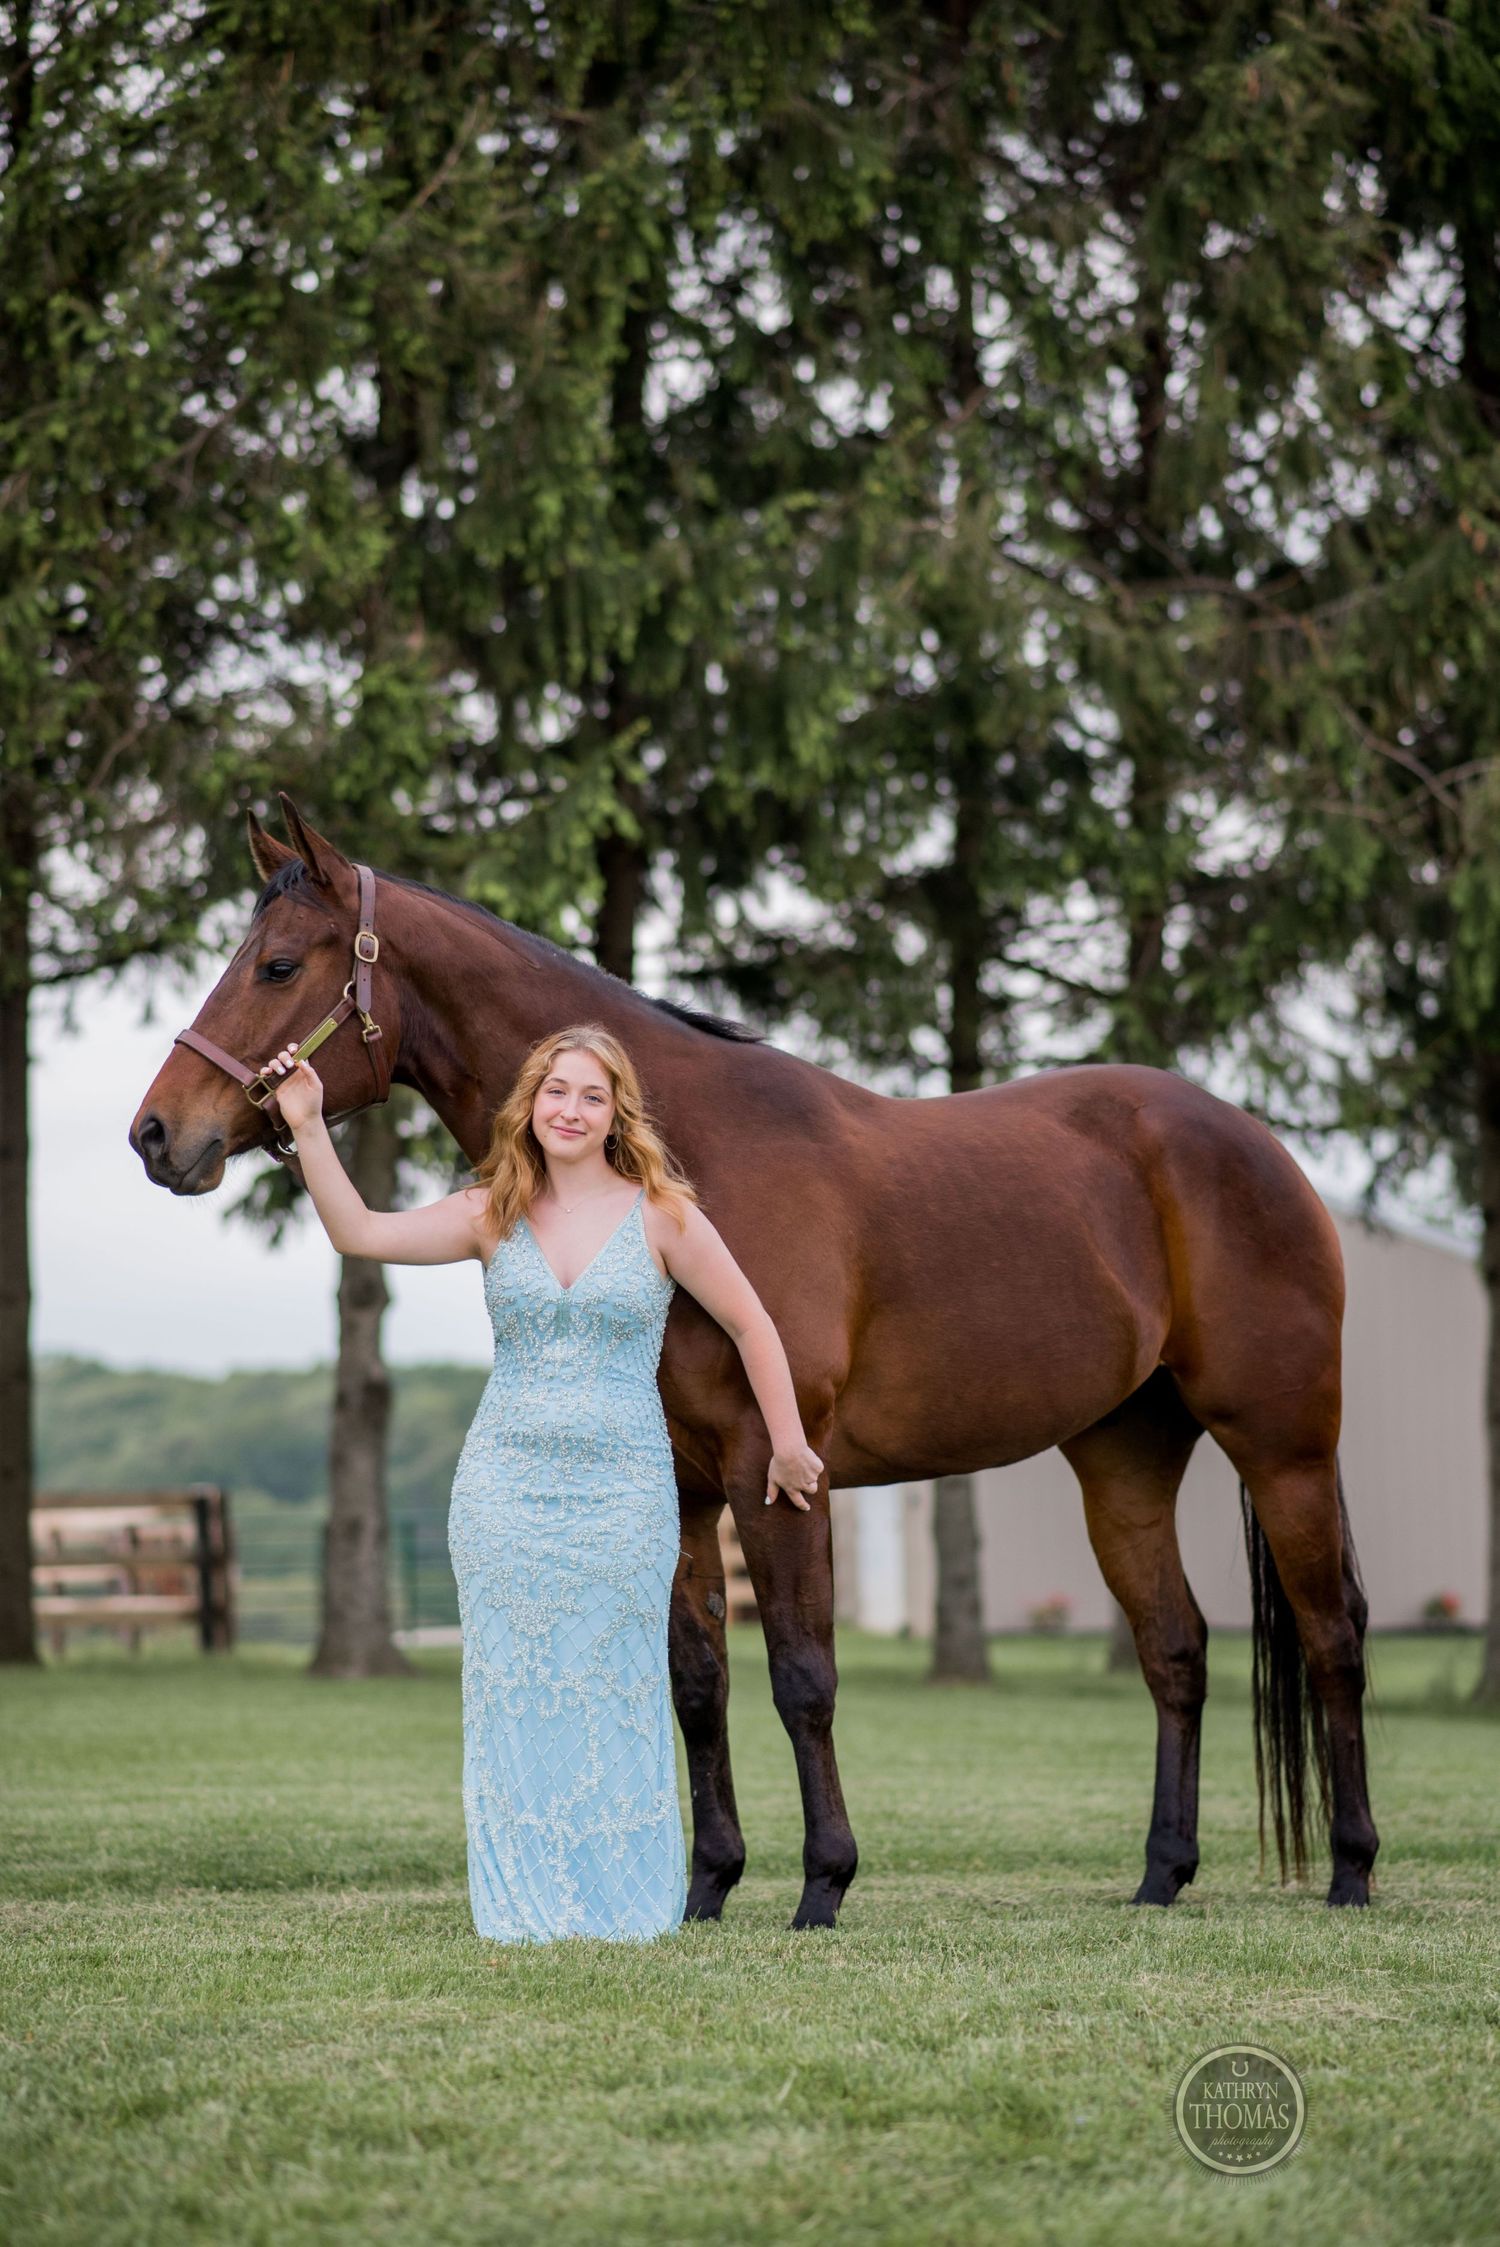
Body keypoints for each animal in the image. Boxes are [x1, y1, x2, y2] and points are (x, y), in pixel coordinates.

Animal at [129, 795, 1379, 1924]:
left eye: (279, 965)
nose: (155, 1135)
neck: (690, 1160)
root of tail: (1254, 1143)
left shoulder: (774, 1470)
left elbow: (802, 1676)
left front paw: (824, 1883)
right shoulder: (685, 1482)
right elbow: (699, 1681)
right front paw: (706, 1886)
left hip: (1283, 1445)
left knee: (1333, 1634)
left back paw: (1354, 1871)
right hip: (1124, 1456)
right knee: (1175, 1650)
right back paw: (1162, 1876)